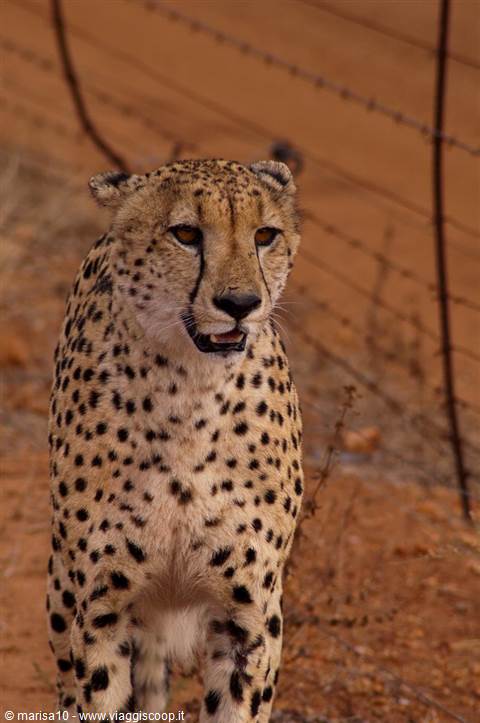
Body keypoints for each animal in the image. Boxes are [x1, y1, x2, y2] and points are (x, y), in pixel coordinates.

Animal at [47, 158, 303, 722]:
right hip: (62, 598)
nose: (240, 303)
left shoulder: (248, 620)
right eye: (186, 234)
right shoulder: (101, 613)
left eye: (265, 235)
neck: (190, 392)